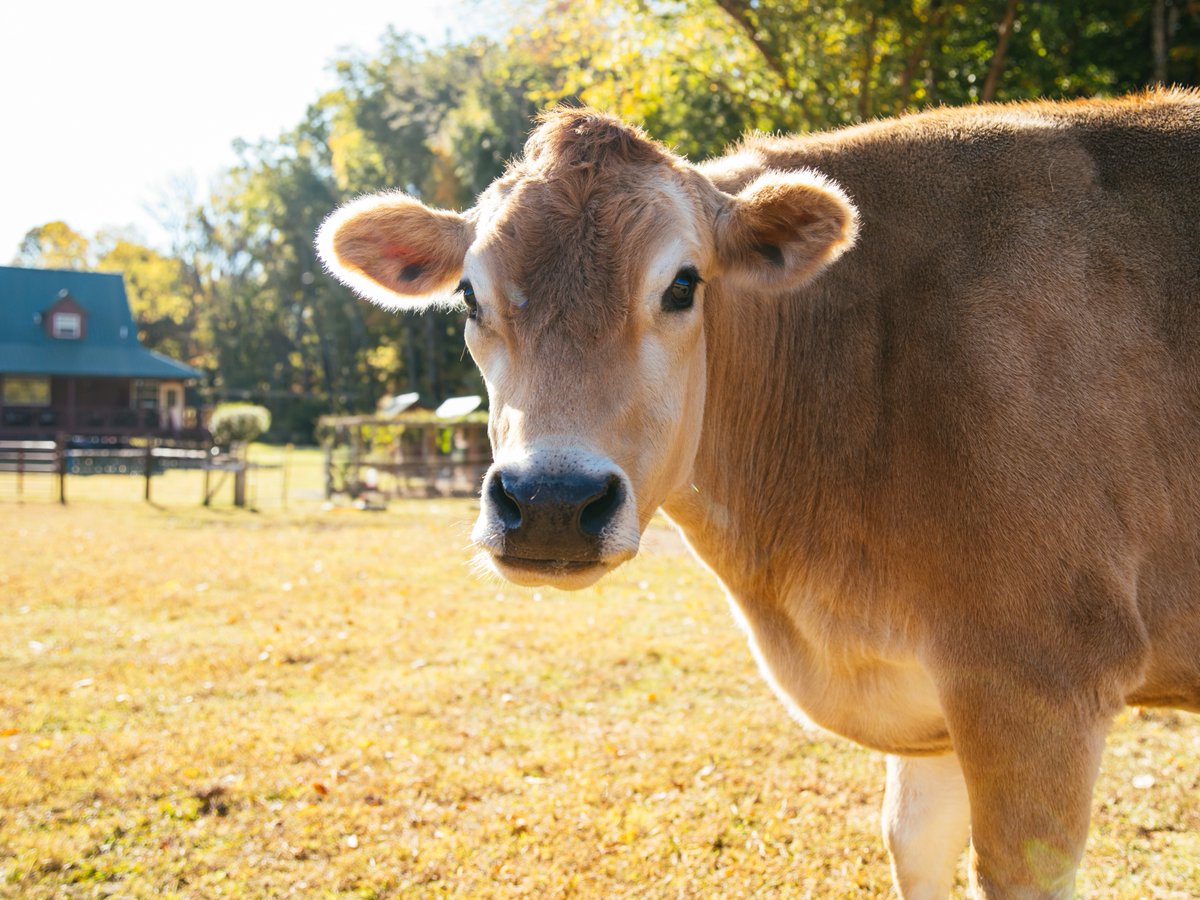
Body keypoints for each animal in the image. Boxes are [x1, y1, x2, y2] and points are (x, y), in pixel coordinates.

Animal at [317, 90, 1200, 898]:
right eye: (469, 294)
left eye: (682, 285)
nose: (552, 503)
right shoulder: (936, 709)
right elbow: (913, 843)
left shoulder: (1037, 680)